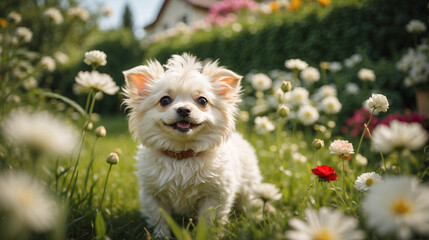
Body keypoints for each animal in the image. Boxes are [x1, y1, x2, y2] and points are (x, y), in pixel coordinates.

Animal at [122, 53, 266, 236]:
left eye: (203, 101)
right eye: (165, 100)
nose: (183, 109)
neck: (182, 156)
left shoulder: (215, 195)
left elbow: (209, 220)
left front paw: (209, 235)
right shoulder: (153, 195)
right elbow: (160, 220)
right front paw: (161, 236)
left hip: (248, 188)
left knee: (252, 204)